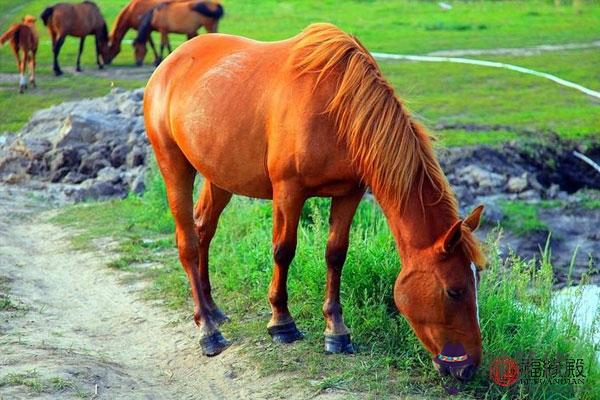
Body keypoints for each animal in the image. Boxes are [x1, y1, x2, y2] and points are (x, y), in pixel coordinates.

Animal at [145, 22, 488, 382]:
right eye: (454, 290)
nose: (469, 367)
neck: (337, 111)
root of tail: (169, 64)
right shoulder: (288, 191)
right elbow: (284, 251)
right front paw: (282, 322)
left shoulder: (349, 193)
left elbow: (336, 254)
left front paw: (336, 331)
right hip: (174, 166)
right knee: (187, 243)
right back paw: (208, 330)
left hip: (219, 176)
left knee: (204, 231)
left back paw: (212, 310)